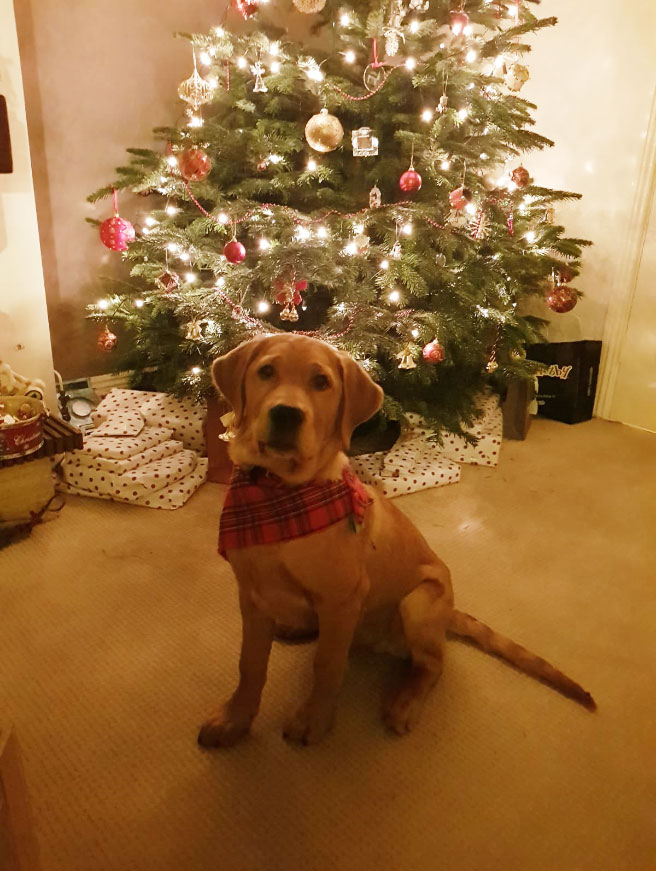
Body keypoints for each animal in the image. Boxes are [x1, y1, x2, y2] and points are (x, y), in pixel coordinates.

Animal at [200, 334, 596, 748]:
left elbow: (326, 665)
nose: (286, 415)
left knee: (432, 663)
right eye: (266, 372)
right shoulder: (253, 596)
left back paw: (404, 702)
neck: (278, 494)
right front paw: (234, 719)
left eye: (321, 382)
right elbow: (249, 665)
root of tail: (449, 611)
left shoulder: (343, 598)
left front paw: (314, 719)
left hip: (416, 603)